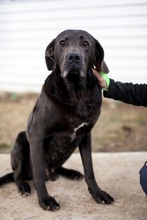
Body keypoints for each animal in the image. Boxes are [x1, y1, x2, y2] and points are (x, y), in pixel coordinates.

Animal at [0, 29, 113, 211]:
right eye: (62, 42)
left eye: (85, 43)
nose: (73, 57)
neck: (76, 92)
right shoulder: (36, 133)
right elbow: (38, 173)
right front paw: (45, 199)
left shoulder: (86, 134)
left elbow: (89, 169)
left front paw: (97, 193)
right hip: (21, 139)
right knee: (18, 174)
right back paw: (23, 185)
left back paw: (71, 173)